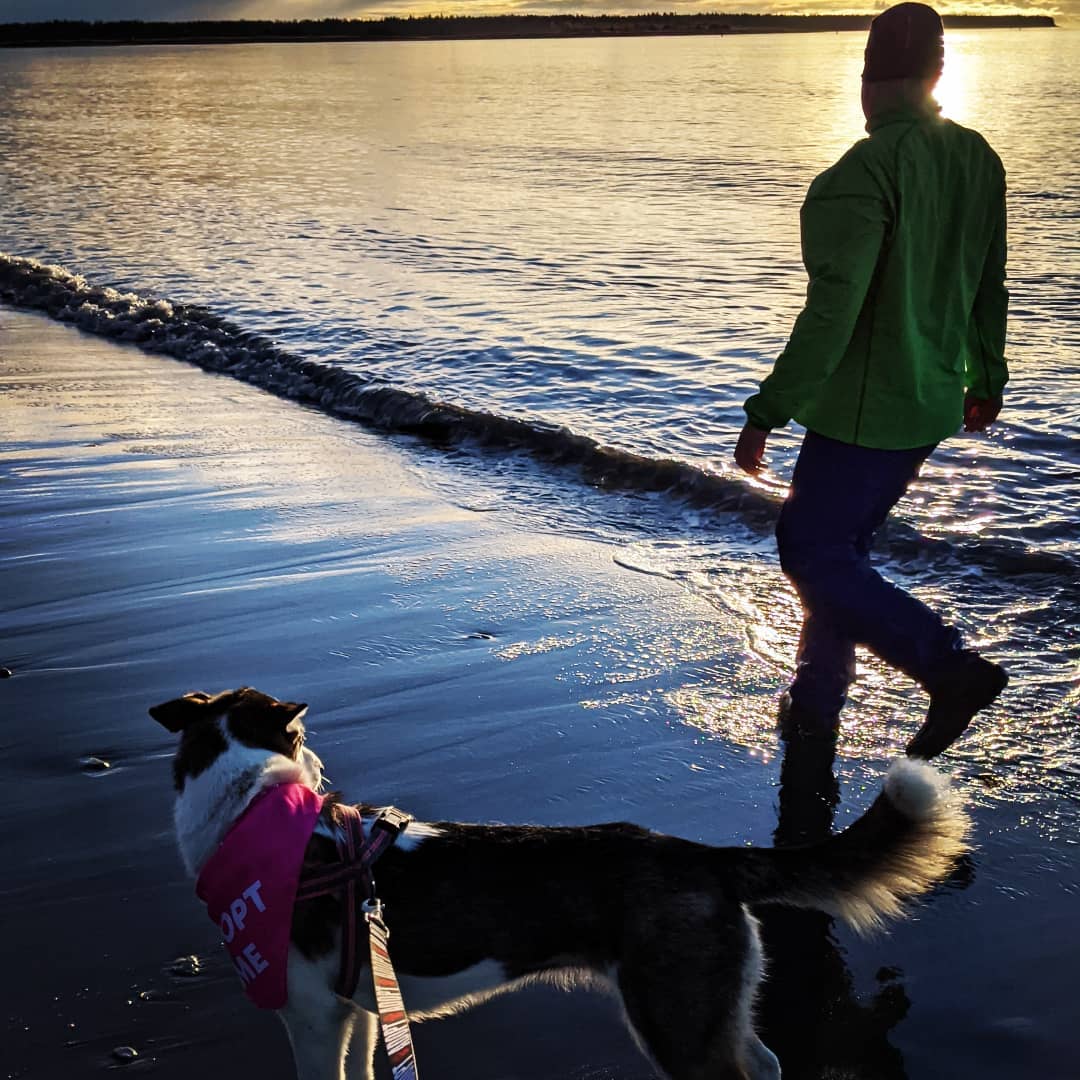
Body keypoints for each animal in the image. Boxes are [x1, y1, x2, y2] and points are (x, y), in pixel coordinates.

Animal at [156, 686, 976, 1075]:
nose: (324, 775)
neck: (252, 809)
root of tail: (699, 852)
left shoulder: (312, 1018)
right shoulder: (355, 1012)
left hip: (672, 1019)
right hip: (708, 1004)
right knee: (767, 1060)